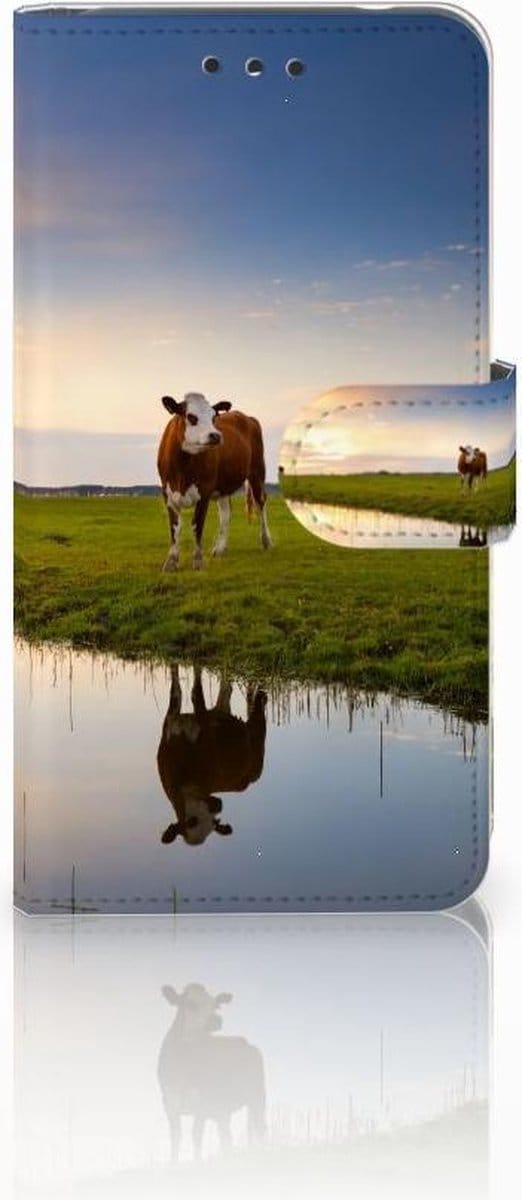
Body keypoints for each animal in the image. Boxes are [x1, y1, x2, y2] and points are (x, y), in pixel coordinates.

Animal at [157, 392, 272, 570]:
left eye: (213, 417)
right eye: (191, 417)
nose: (216, 435)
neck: (182, 470)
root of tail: (247, 417)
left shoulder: (204, 491)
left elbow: (197, 524)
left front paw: (198, 561)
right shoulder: (167, 492)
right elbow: (175, 527)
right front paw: (171, 562)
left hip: (257, 472)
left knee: (261, 503)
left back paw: (266, 540)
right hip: (223, 484)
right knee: (226, 513)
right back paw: (220, 548)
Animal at [157, 666, 267, 848]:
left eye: (213, 822)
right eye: (191, 821)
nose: (218, 805)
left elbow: (196, 693)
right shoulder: (170, 721)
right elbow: (176, 690)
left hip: (257, 754)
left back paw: (260, 696)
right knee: (226, 691)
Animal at [158, 983, 266, 1161]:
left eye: (215, 1004)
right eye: (190, 1003)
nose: (216, 1020)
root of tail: (246, 1042)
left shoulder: (202, 1103)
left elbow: (196, 1135)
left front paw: (197, 1162)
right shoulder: (169, 1103)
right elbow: (175, 1138)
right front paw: (173, 1164)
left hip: (257, 1097)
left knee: (260, 1128)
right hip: (223, 1109)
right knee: (227, 1136)